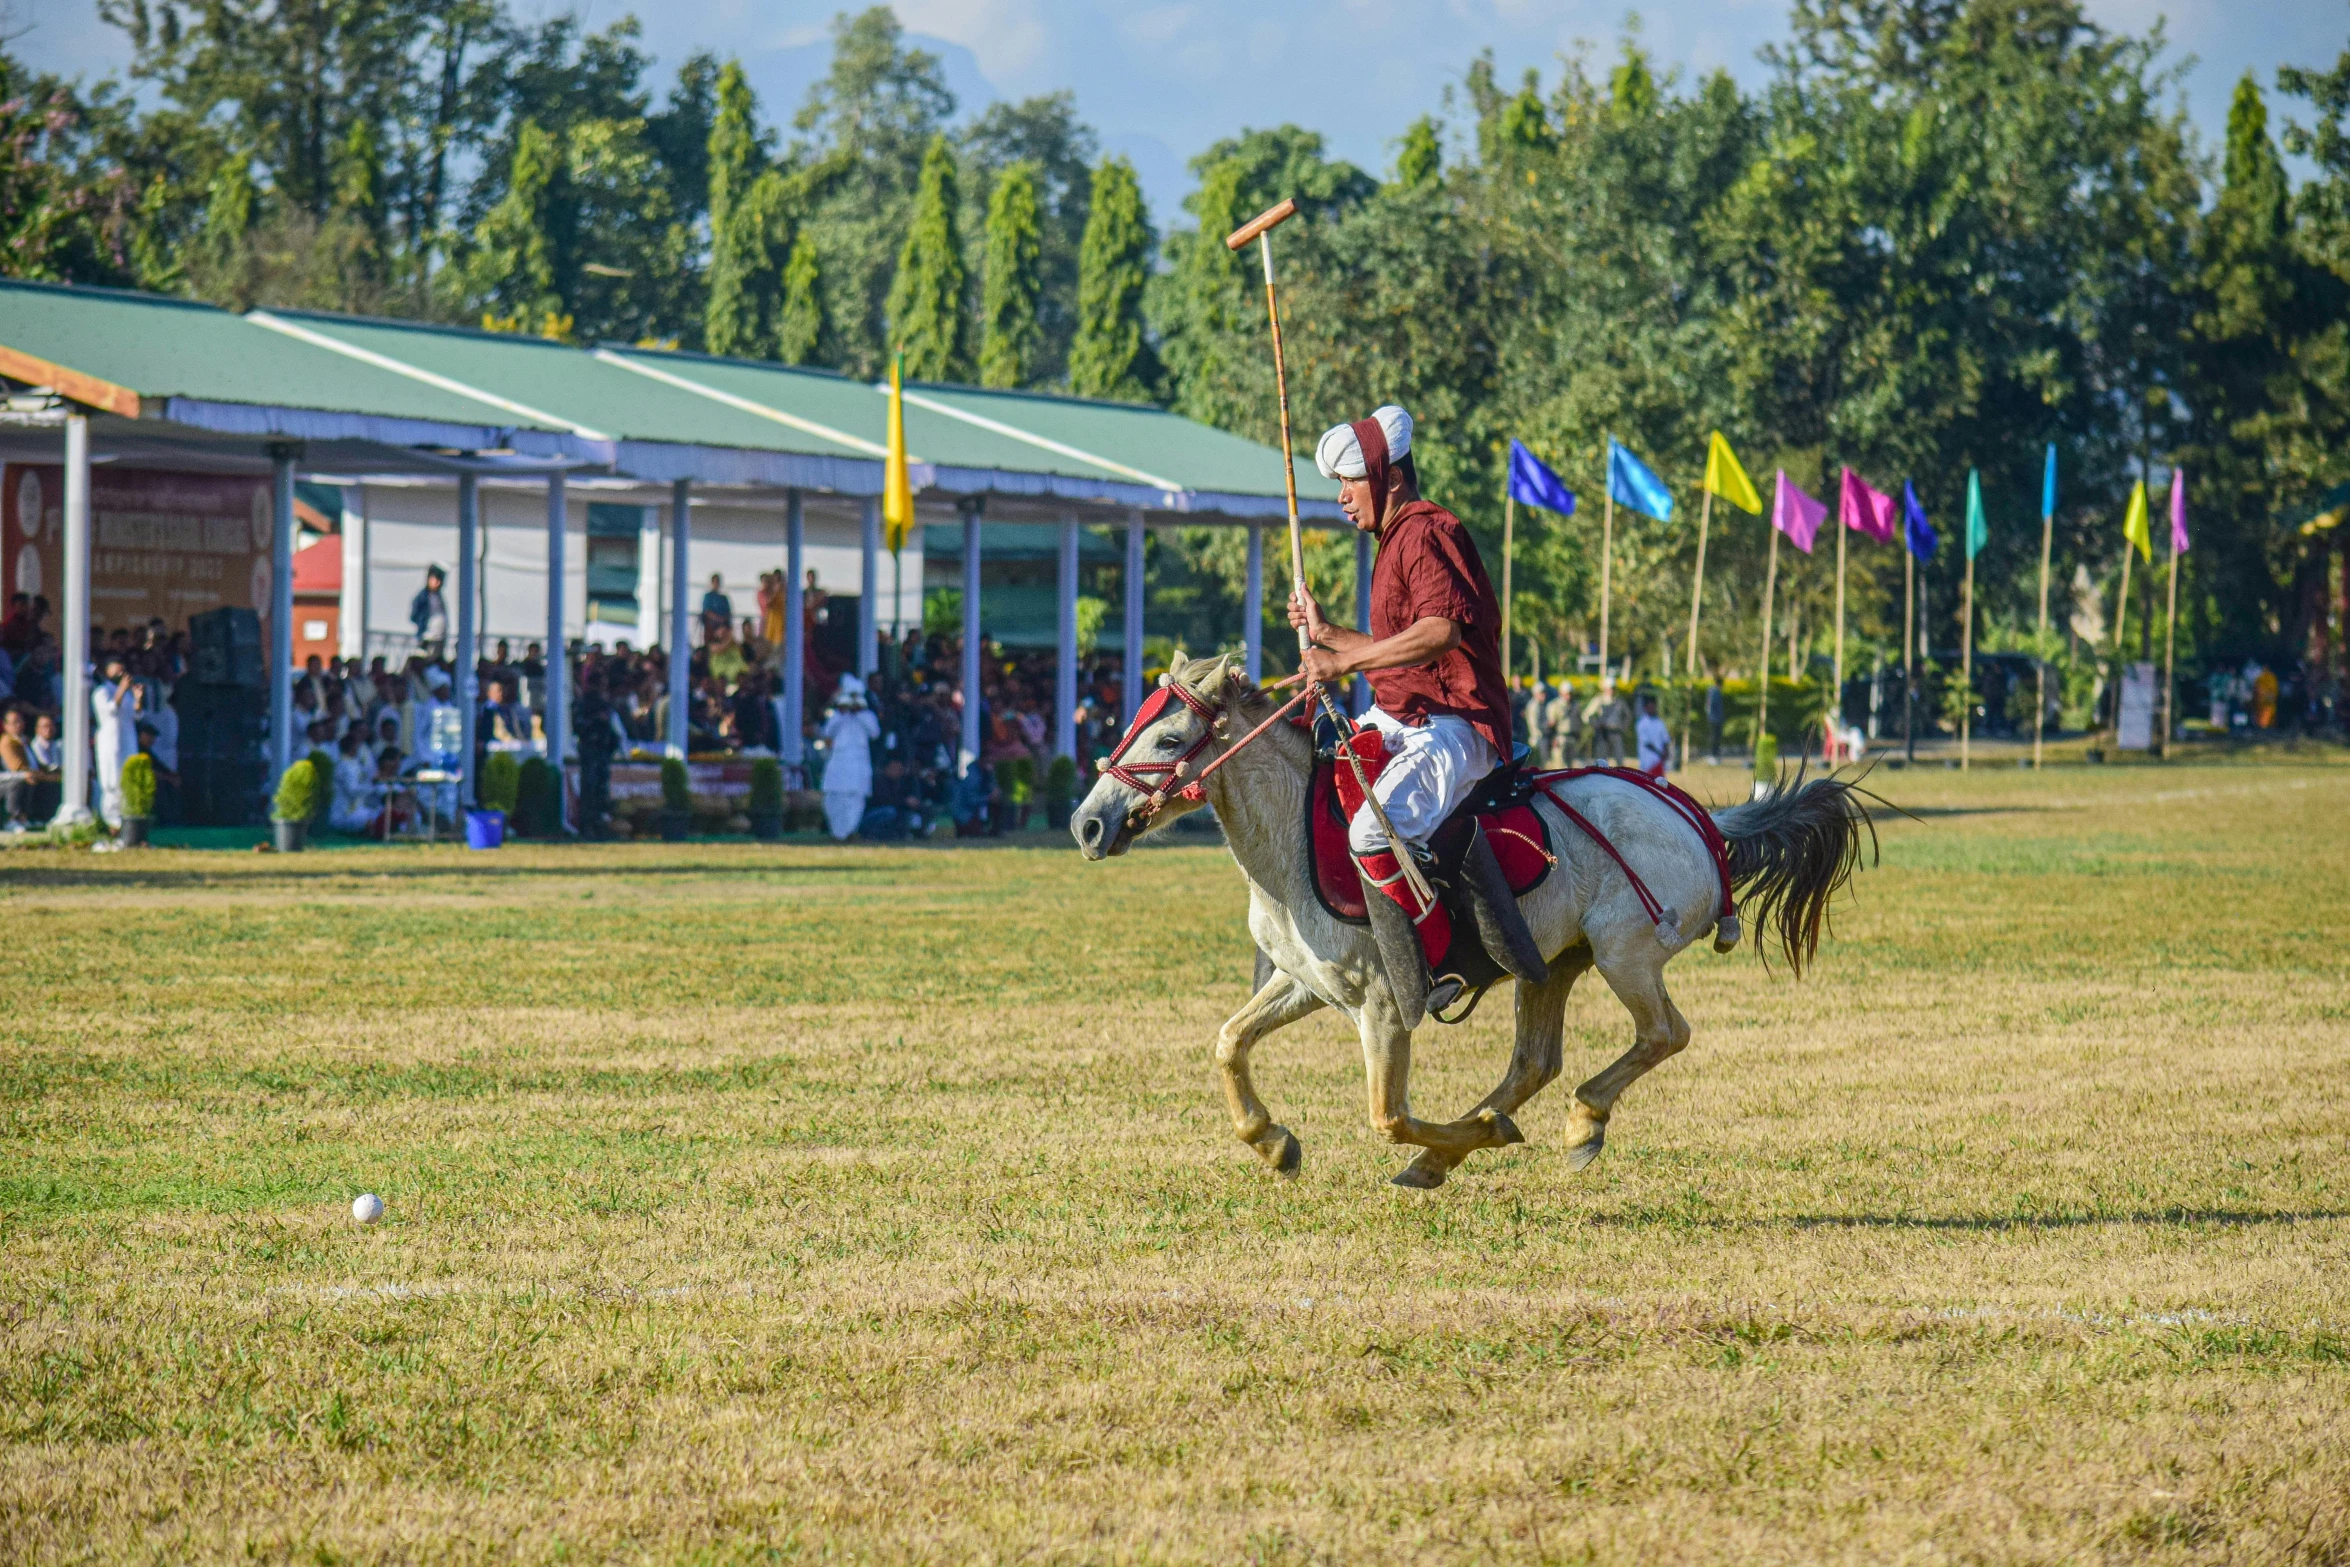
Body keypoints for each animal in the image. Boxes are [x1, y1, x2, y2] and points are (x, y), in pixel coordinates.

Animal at [1071, 657, 1870, 1188]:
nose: (1087, 824)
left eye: (1168, 740)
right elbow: (1229, 1041)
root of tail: (1702, 818)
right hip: (1551, 960)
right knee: (1536, 1061)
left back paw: (1570, 1124)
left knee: (1663, 1033)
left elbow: (1387, 1114)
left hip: (1626, 953)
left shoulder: (1385, 1004)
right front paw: (1273, 1141)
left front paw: (1471, 1135)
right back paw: (1461, 1147)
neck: (1293, 843)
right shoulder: (1307, 984)